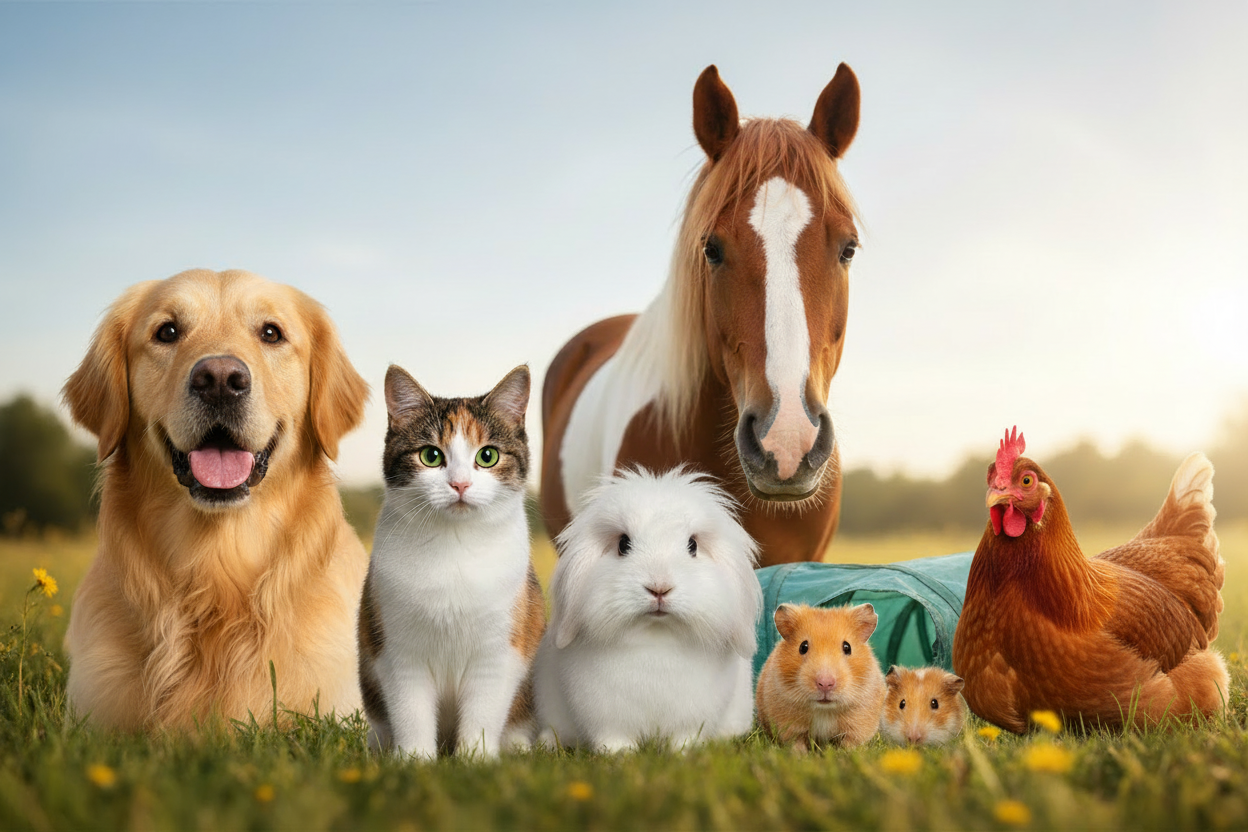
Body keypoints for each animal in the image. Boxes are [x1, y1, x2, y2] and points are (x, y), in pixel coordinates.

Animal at [533, 467, 762, 752]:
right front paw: (620, 755)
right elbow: (614, 739)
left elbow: (684, 738)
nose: (659, 588)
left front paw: (683, 754)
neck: (656, 637)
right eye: (623, 544)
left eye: (693, 546)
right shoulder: (607, 720)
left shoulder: (690, 720)